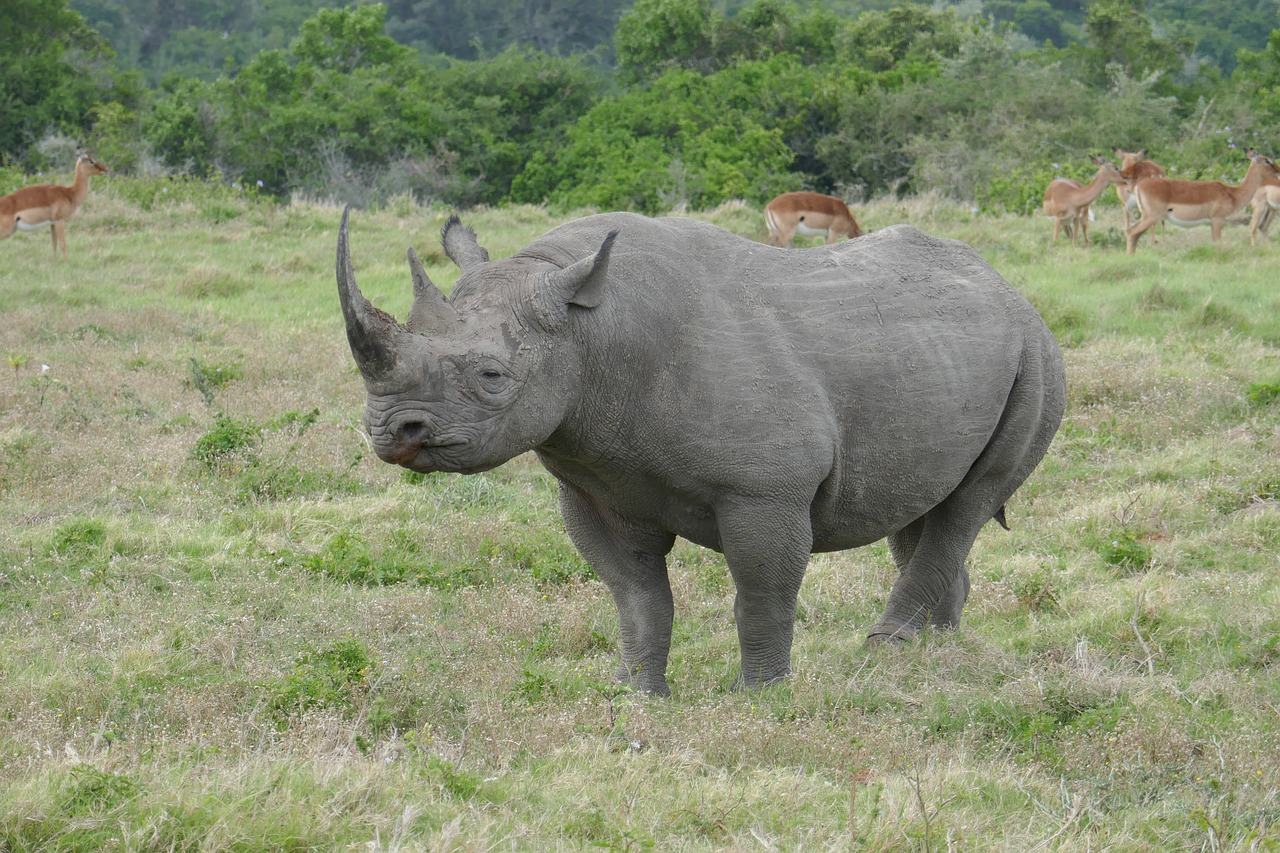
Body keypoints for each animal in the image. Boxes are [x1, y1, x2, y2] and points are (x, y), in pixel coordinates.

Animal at [1131, 148, 1280, 252]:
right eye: (1267, 160)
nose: (1279, 171)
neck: (1232, 193)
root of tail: (1140, 185)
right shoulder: (1217, 220)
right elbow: (1218, 243)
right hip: (1150, 217)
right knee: (1131, 233)